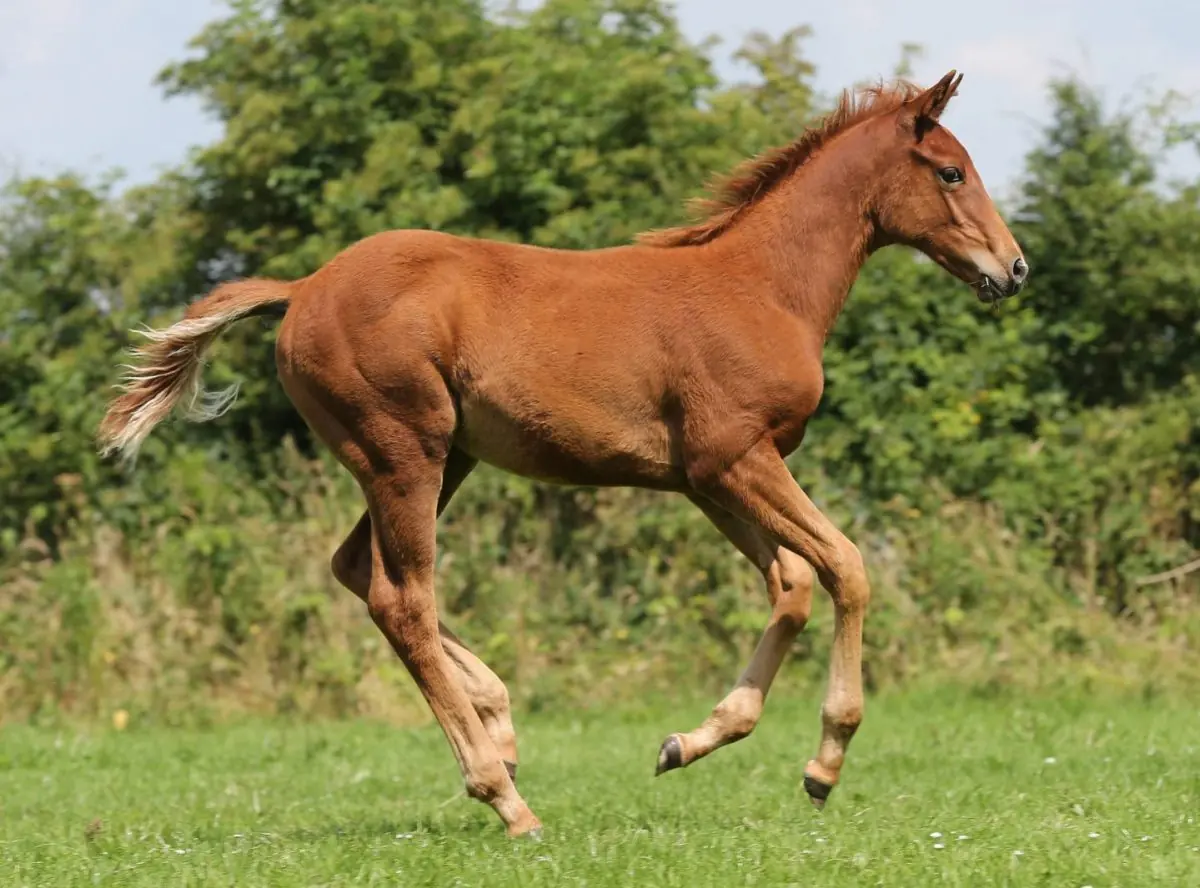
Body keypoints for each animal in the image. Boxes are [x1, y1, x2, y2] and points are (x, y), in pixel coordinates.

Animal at [98, 70, 1027, 838]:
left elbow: (792, 584)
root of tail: (301, 289)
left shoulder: (707, 479)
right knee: (403, 599)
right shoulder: (738, 457)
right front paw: (824, 764)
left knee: (358, 570)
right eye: (951, 172)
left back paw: (501, 728)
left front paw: (689, 741)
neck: (762, 287)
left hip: (441, 458)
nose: (1014, 268)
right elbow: (847, 565)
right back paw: (503, 795)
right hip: (404, 450)